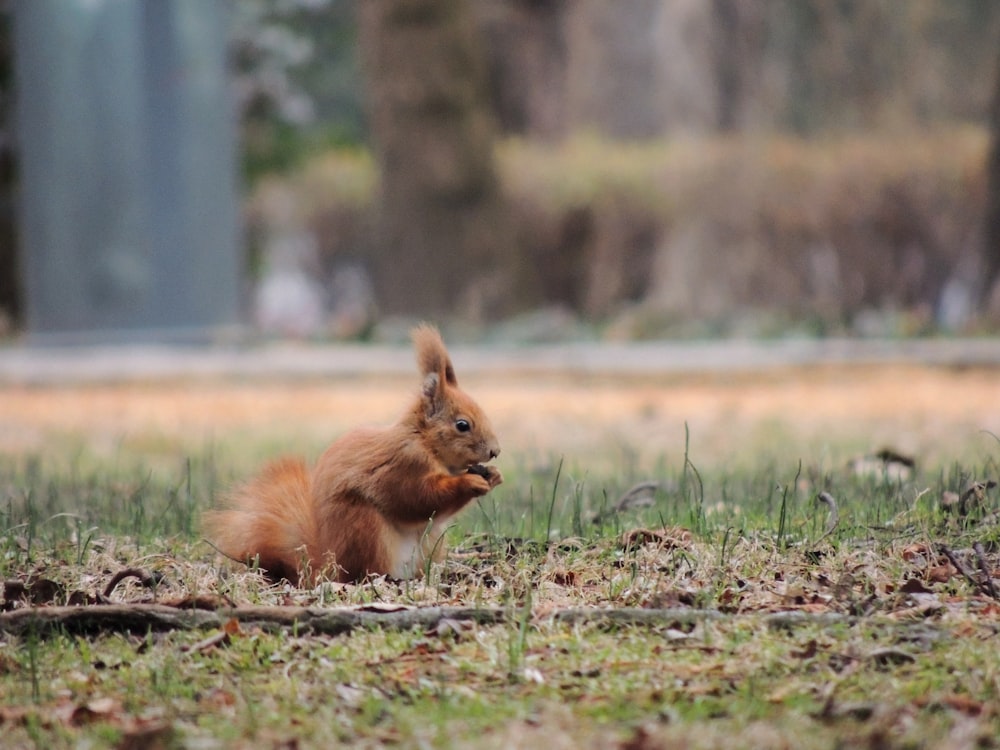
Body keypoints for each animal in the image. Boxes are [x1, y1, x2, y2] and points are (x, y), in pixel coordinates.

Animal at [204, 326, 504, 592]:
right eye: (462, 425)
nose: (495, 451)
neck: (425, 442)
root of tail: (328, 568)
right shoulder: (401, 464)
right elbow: (415, 497)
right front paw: (469, 483)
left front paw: (494, 475)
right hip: (366, 530)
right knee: (367, 570)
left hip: (431, 542)